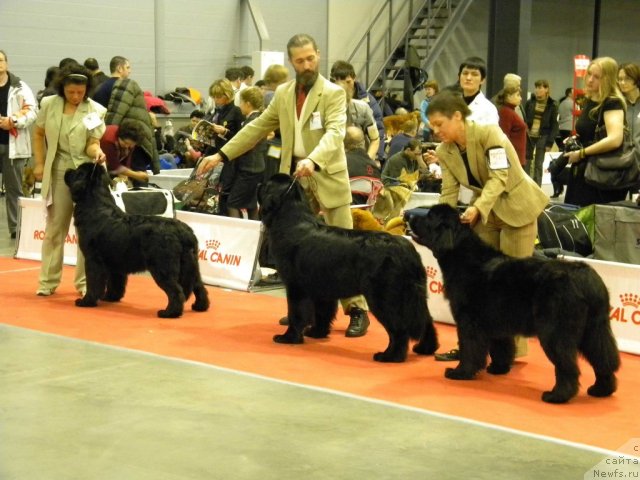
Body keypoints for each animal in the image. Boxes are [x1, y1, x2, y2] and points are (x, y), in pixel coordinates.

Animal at [65, 162, 210, 318]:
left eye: (77, 172)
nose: (67, 170)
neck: (95, 204)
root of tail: (184, 231)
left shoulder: (93, 259)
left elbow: (94, 282)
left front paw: (87, 301)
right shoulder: (115, 262)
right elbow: (116, 282)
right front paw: (110, 297)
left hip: (163, 267)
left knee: (176, 291)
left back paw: (169, 313)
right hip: (191, 265)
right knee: (199, 285)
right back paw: (200, 307)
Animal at [258, 174, 438, 362]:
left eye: (265, 184)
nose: (258, 183)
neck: (292, 221)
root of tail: (407, 250)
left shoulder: (296, 286)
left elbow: (296, 313)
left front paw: (289, 337)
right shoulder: (321, 289)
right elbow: (322, 313)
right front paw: (316, 333)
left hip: (385, 297)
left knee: (399, 329)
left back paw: (390, 356)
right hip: (414, 296)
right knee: (426, 321)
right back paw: (425, 348)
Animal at [410, 202, 620, 402]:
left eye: (429, 217)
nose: (409, 216)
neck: (461, 256)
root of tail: (587, 277)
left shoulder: (468, 320)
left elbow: (469, 348)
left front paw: (461, 372)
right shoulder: (496, 321)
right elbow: (501, 346)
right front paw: (498, 369)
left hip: (555, 331)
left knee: (567, 365)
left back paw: (557, 396)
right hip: (594, 330)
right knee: (603, 359)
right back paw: (601, 390)